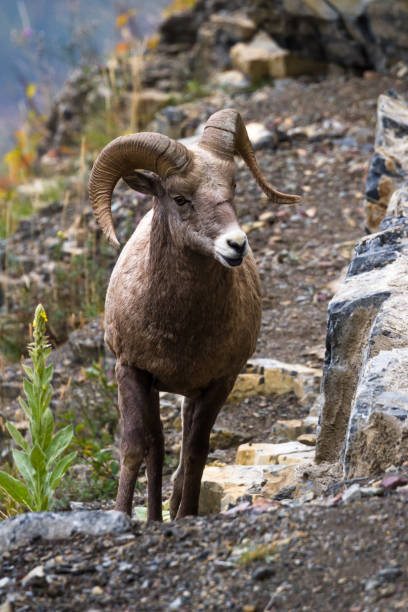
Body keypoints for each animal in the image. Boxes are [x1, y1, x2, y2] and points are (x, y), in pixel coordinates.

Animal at [89, 107, 300, 520]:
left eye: (232, 189)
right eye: (180, 198)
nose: (236, 245)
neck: (180, 329)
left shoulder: (219, 383)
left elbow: (196, 453)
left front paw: (186, 516)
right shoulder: (131, 372)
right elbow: (134, 448)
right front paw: (122, 515)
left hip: (187, 396)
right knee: (156, 448)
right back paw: (154, 518)